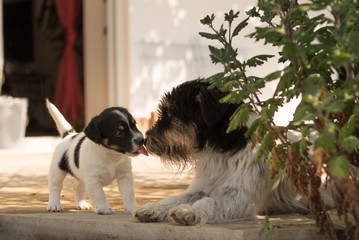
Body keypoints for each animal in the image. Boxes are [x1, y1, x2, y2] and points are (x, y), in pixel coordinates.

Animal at [133, 79, 338, 226]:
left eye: (170, 114)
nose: (145, 139)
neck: (220, 151)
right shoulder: (200, 188)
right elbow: (172, 199)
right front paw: (152, 208)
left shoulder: (241, 199)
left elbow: (210, 203)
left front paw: (189, 212)